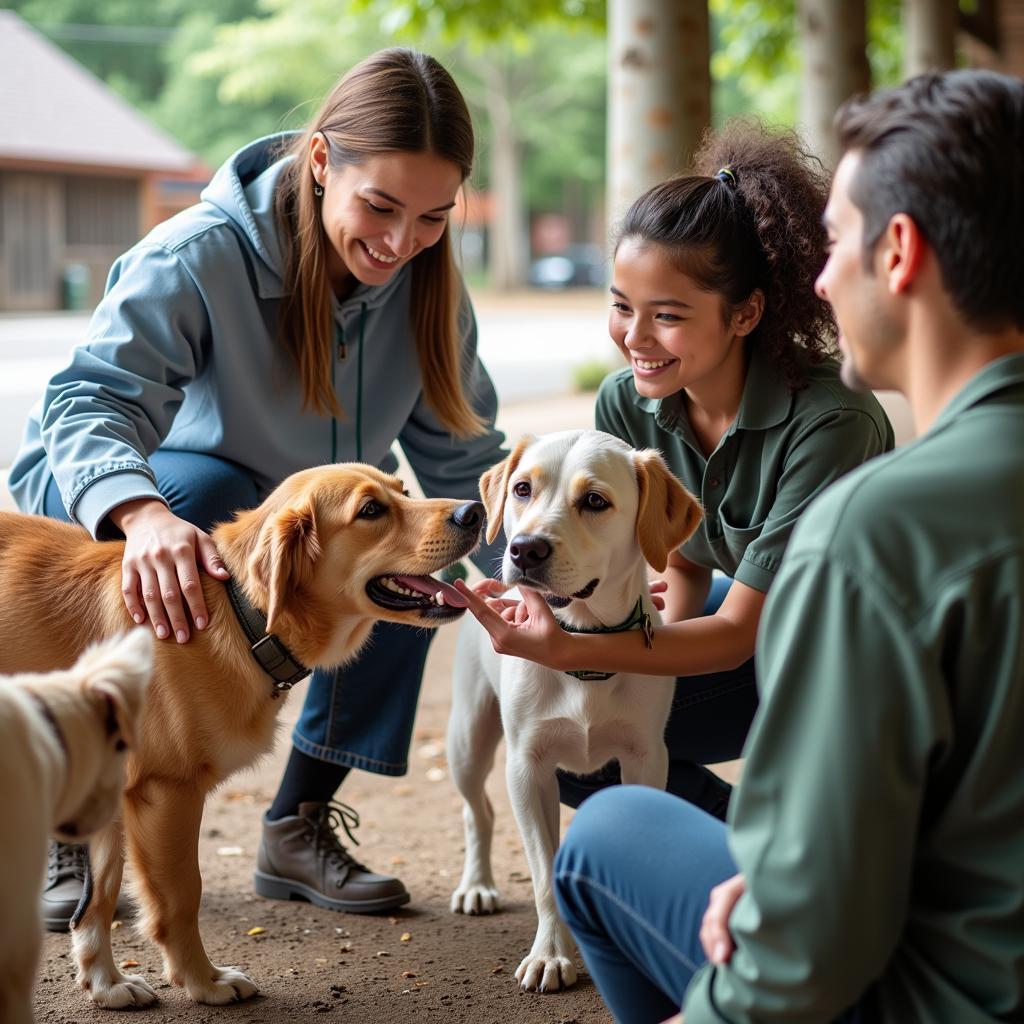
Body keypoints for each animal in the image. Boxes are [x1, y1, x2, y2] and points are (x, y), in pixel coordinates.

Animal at [448, 430, 704, 991]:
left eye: (595, 501)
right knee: (477, 812)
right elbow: (544, 876)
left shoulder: (646, 758)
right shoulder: (527, 767)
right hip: (468, 740)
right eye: (522, 489)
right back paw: (477, 885)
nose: (524, 548)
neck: (583, 642)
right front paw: (550, 954)